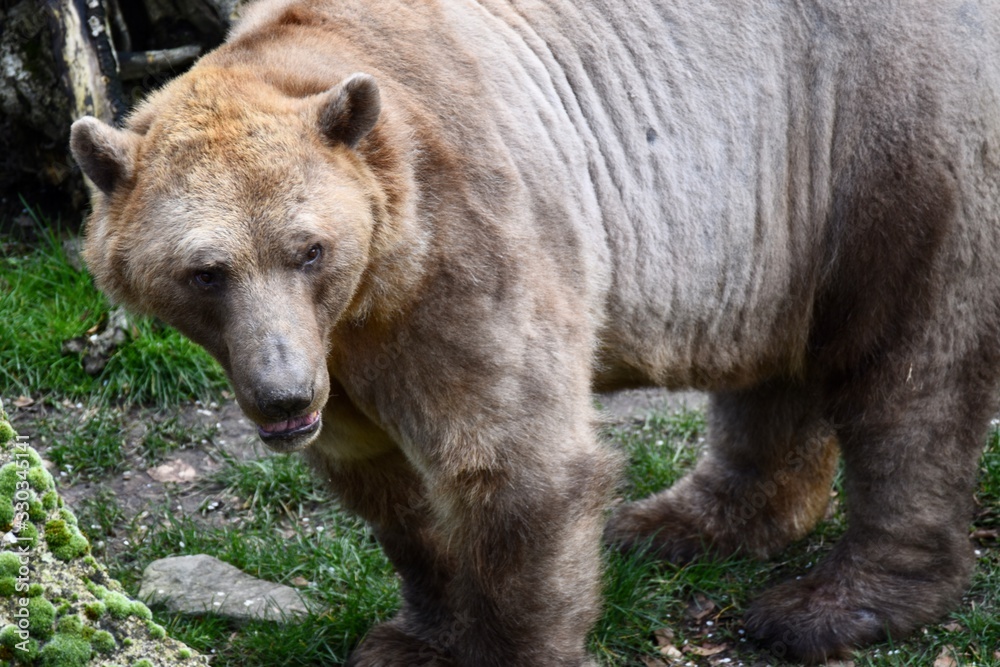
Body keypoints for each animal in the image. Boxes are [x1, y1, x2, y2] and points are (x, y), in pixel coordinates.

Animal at [68, 0, 1000, 664]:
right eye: (206, 271)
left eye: (309, 248)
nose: (283, 395)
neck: (371, 297)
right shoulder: (351, 354)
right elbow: (388, 490)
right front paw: (413, 636)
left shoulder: (469, 248)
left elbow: (512, 465)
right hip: (784, 214)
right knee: (773, 370)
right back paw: (680, 521)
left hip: (887, 136)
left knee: (911, 377)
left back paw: (829, 604)